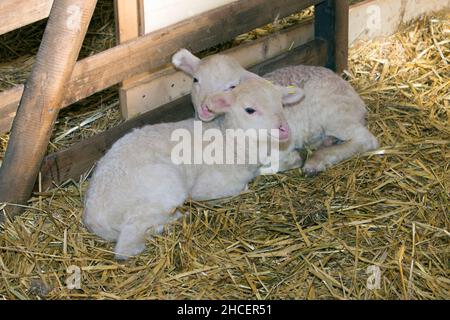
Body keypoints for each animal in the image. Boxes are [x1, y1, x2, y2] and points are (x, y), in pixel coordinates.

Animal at [82, 78, 304, 260]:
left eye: (281, 104)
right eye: (250, 109)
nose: (284, 129)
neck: (231, 140)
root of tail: (94, 217)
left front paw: (293, 159)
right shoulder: (209, 187)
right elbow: (242, 187)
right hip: (164, 186)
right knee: (127, 247)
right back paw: (179, 218)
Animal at [172, 48, 380, 176]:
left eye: (232, 86)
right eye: (195, 80)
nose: (205, 107)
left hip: (333, 113)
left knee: (365, 139)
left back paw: (317, 160)